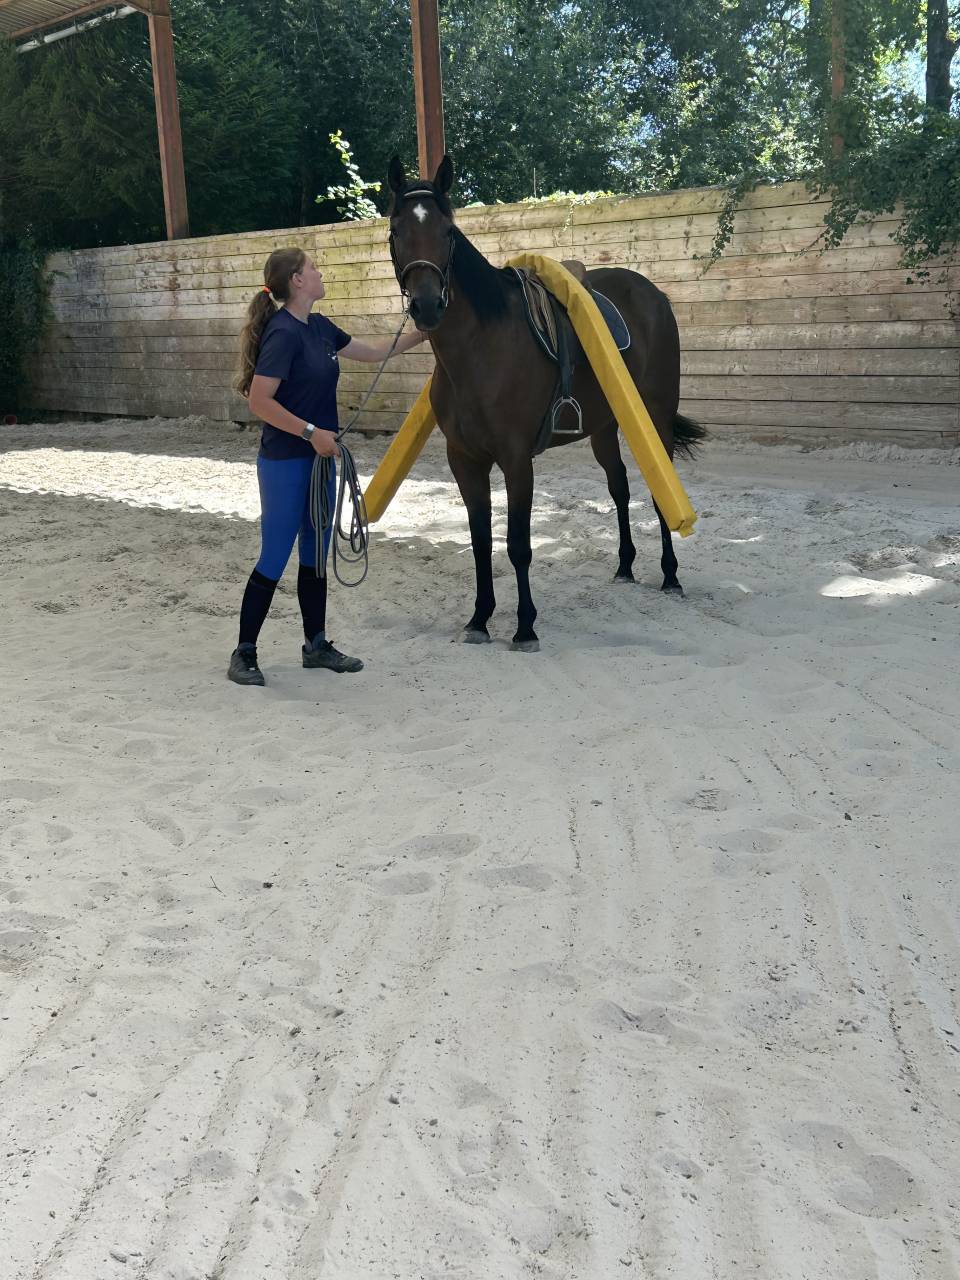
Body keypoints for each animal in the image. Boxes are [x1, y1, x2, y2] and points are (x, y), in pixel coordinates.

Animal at [386, 155, 705, 651]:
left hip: (655, 418)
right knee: (619, 489)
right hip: (604, 428)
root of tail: (653, 293)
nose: (427, 305)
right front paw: (479, 618)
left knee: (657, 490)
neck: (480, 349)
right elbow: (481, 540)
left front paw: (524, 626)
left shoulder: (517, 461)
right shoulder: (464, 460)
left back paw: (670, 576)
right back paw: (625, 565)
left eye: (448, 231)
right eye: (397, 229)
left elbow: (518, 544)